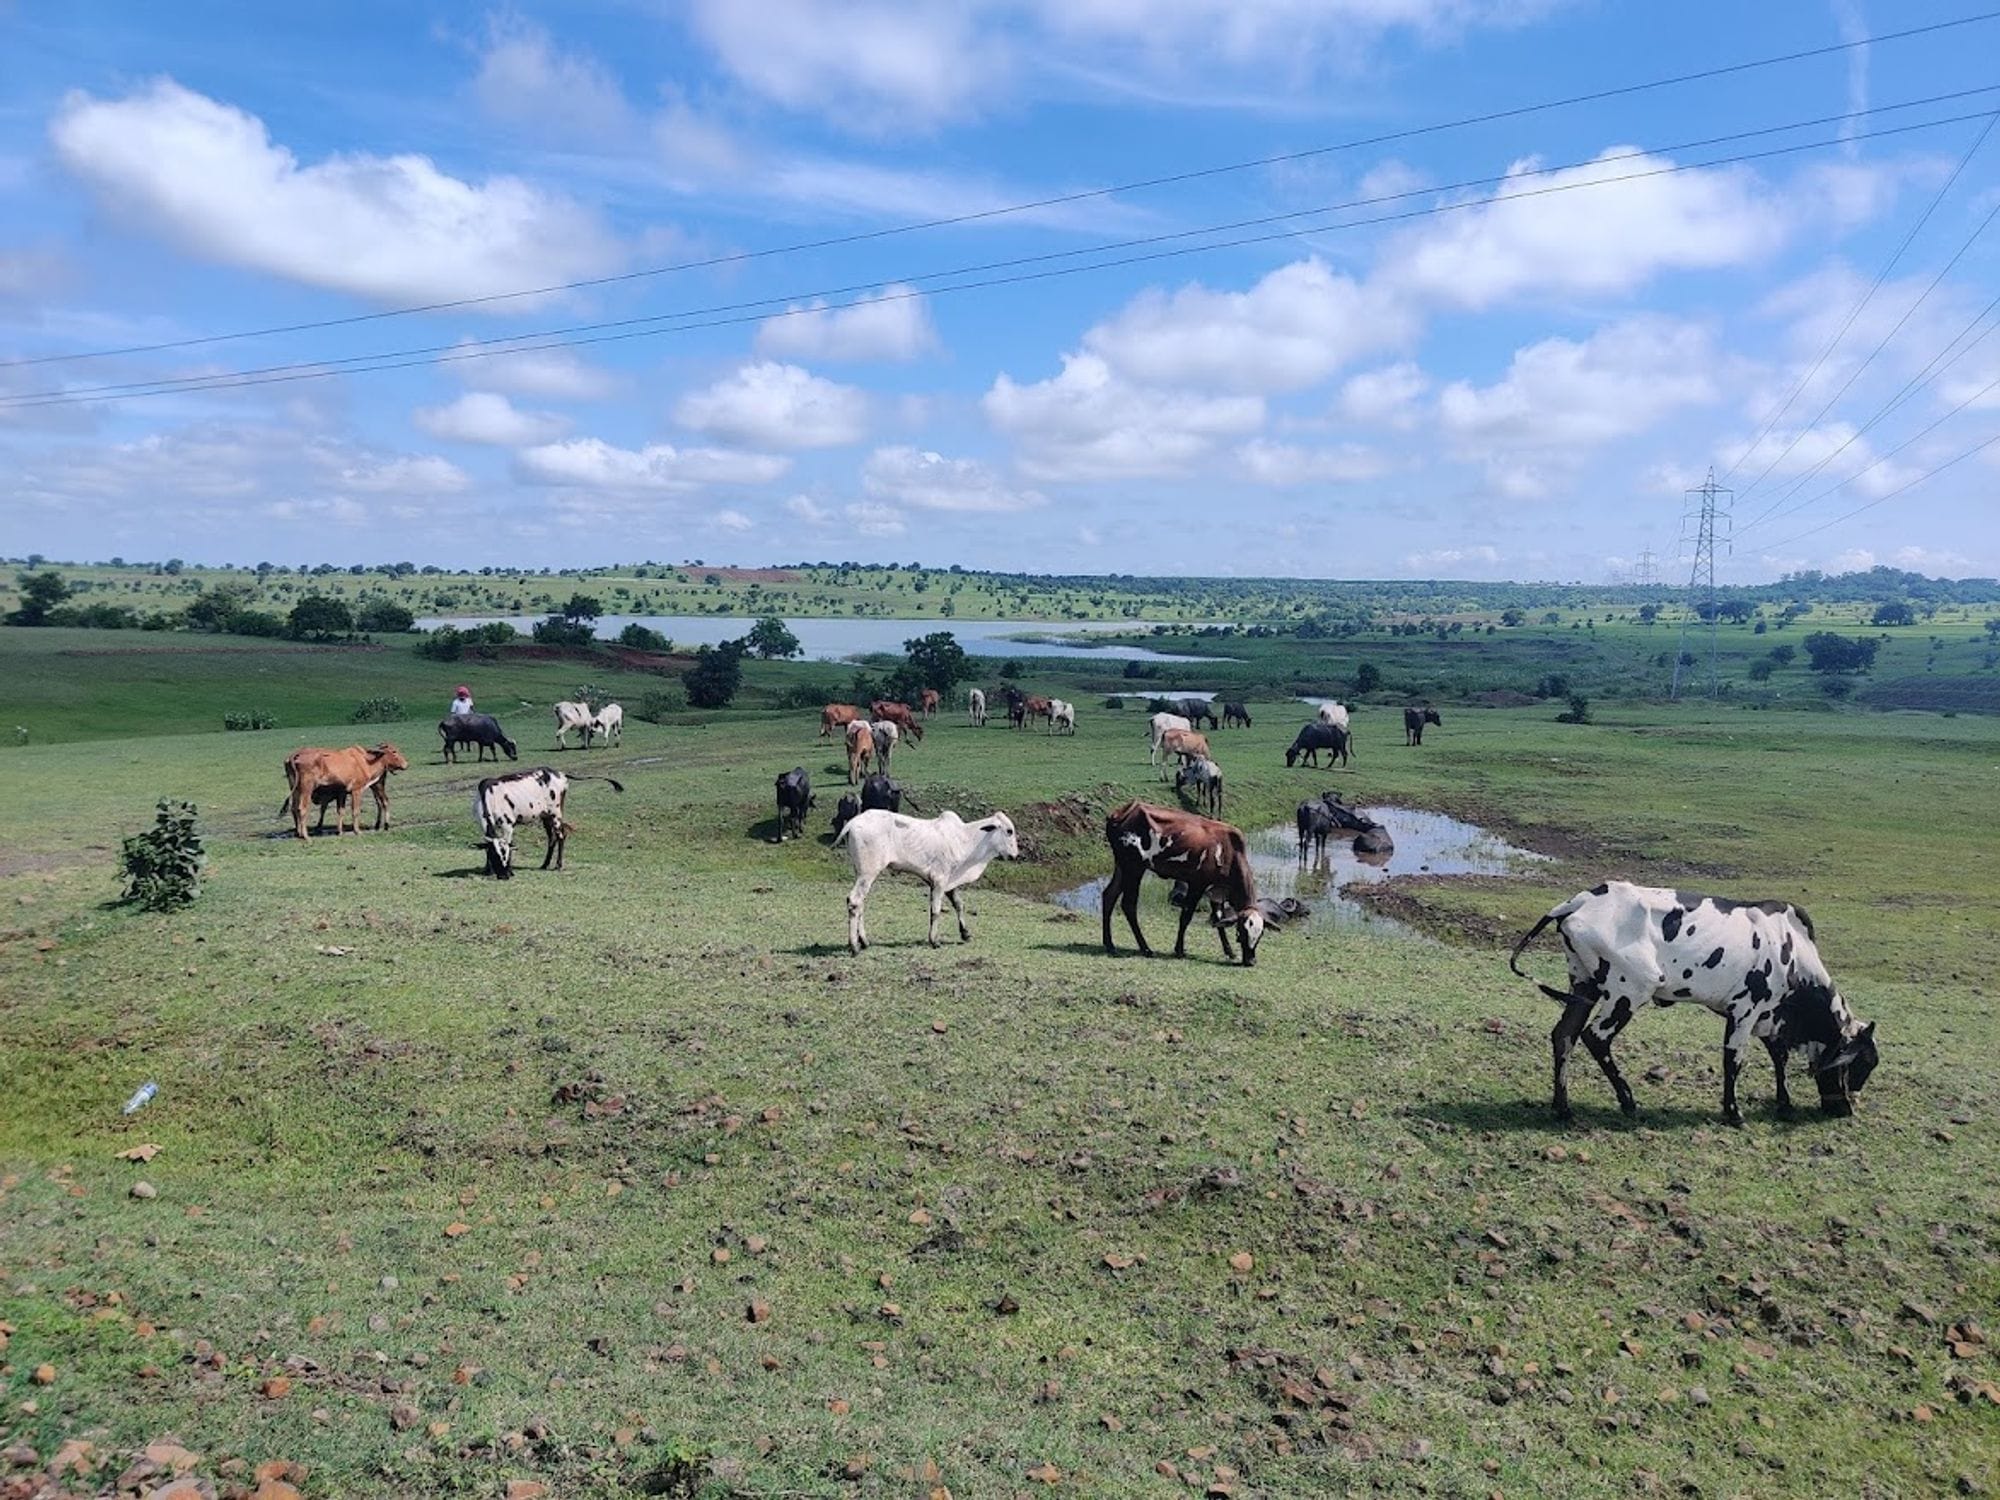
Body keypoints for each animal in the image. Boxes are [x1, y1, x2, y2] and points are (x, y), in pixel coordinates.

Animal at [472, 768, 620, 876]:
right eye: (495, 855)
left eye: (506, 856)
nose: (505, 875)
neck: (489, 795)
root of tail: (559, 774)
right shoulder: (483, 825)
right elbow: (487, 846)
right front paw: (488, 870)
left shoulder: (507, 825)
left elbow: (509, 843)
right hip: (546, 816)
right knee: (552, 838)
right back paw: (544, 864)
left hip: (556, 813)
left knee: (561, 835)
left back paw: (558, 865)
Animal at [828, 812, 1016, 952]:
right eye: (1009, 831)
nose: (1016, 855)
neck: (964, 839)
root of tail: (852, 823)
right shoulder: (940, 880)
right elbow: (936, 911)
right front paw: (934, 941)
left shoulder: (949, 882)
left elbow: (959, 905)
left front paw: (965, 933)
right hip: (868, 873)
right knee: (854, 901)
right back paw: (854, 946)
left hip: (861, 873)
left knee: (861, 904)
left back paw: (864, 941)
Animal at [1096, 804, 1264, 968]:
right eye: (1241, 933)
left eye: (1260, 935)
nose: (1251, 961)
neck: (1230, 851)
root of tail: (1122, 812)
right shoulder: (1197, 885)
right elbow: (1186, 916)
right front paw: (1179, 950)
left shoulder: (1216, 892)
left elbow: (1218, 920)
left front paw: (1229, 952)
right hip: (1134, 869)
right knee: (1128, 905)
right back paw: (1145, 948)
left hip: (1122, 867)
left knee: (1109, 896)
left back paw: (1110, 945)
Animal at [1504, 880, 1880, 1128]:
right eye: (1861, 1066)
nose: (1845, 1110)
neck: (1792, 949)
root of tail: (1579, 901)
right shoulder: (1745, 1011)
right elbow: (1734, 1061)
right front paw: (1733, 1112)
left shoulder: (1769, 1017)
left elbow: (1779, 1057)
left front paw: (1784, 1105)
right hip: (1630, 991)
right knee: (1595, 1038)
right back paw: (1628, 1101)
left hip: (1584, 985)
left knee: (1564, 1035)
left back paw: (1563, 1108)